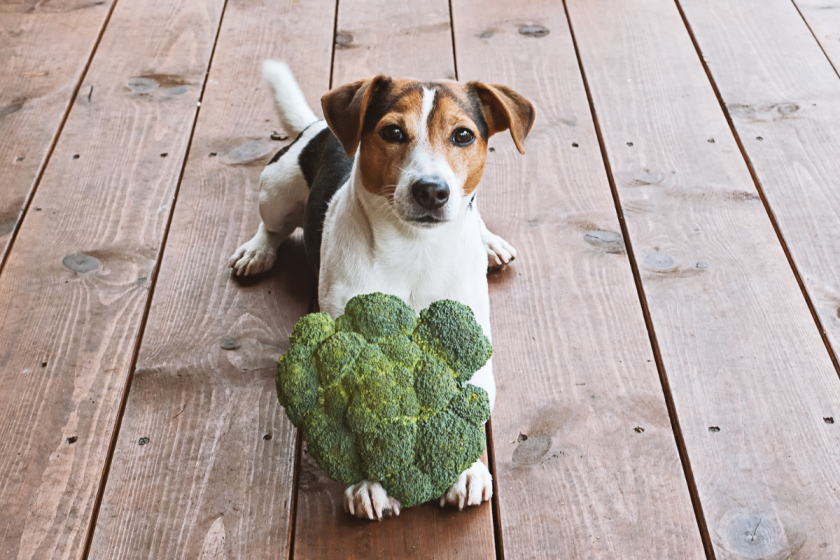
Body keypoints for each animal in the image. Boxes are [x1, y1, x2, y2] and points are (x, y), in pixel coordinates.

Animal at [230, 61, 532, 520]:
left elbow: (469, 400)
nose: (431, 190)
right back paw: (258, 250)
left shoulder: (470, 338)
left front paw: (466, 470)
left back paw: (489, 242)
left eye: (463, 135)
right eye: (392, 132)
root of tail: (317, 127)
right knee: (272, 225)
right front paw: (369, 482)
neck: (415, 248)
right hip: (276, 190)